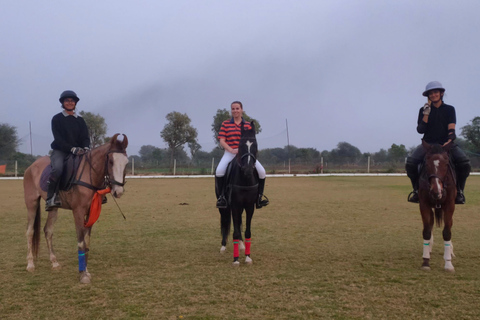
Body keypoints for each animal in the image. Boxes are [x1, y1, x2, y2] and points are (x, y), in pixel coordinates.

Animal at [23, 134, 128, 284]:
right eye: (111, 161)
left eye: (126, 162)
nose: (118, 191)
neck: (89, 175)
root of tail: (31, 167)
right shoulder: (78, 212)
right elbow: (80, 242)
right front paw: (82, 275)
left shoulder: (90, 213)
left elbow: (87, 242)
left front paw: (86, 271)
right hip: (31, 203)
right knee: (30, 231)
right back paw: (30, 264)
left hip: (53, 208)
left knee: (48, 231)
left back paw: (54, 262)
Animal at [218, 122, 258, 264]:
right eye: (240, 146)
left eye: (255, 145)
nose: (247, 170)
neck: (245, 179)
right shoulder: (235, 205)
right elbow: (234, 231)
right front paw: (236, 259)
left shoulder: (250, 206)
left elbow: (247, 231)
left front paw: (247, 257)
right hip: (224, 207)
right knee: (225, 221)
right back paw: (223, 246)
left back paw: (241, 245)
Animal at [418, 140, 456, 272]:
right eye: (427, 163)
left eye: (446, 163)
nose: (436, 192)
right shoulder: (424, 204)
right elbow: (426, 231)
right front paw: (425, 261)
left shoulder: (450, 205)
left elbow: (447, 232)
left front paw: (448, 264)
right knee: (430, 224)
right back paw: (429, 248)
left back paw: (450, 250)